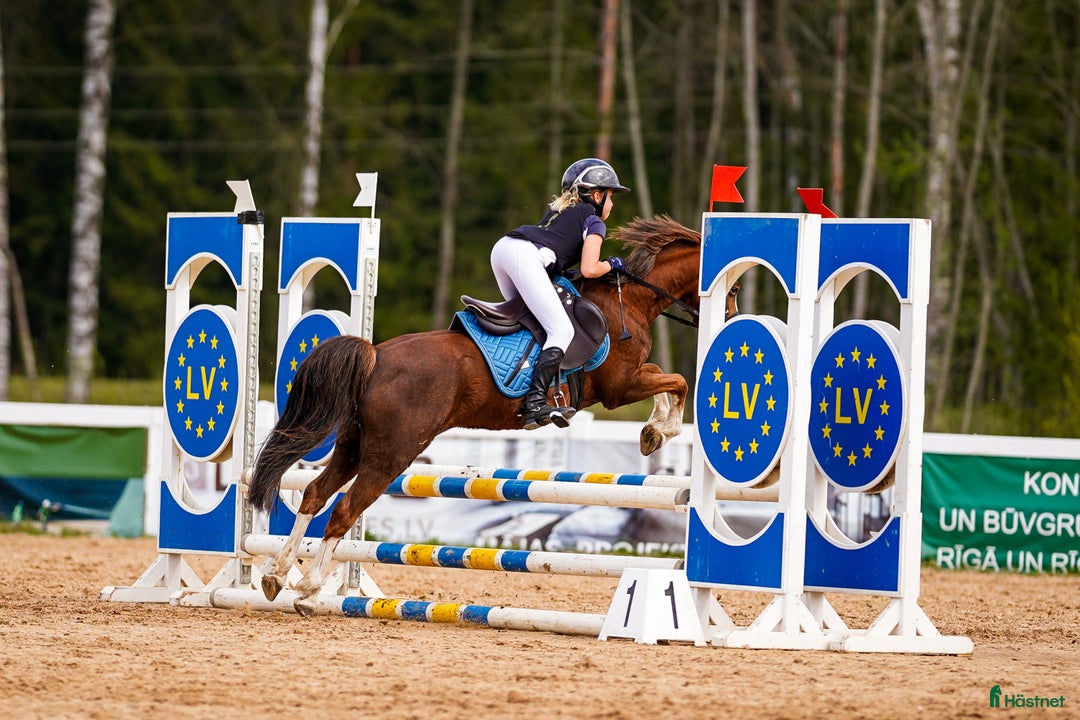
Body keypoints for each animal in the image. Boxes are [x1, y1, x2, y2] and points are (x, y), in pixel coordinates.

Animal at [247, 214, 738, 615]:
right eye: (731, 287)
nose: (731, 316)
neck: (628, 299)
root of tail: (375, 356)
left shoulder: (629, 380)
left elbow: (665, 378)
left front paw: (653, 432)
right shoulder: (620, 388)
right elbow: (677, 381)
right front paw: (660, 431)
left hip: (353, 443)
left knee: (315, 493)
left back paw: (275, 574)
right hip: (392, 453)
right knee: (346, 508)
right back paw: (308, 588)